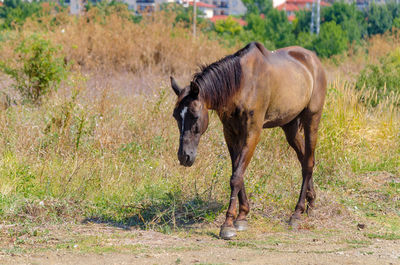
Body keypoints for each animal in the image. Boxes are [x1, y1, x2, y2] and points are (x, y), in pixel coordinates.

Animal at [170, 41, 326, 239]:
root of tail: (313, 60)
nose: (184, 156)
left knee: (308, 163)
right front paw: (242, 216)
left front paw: (228, 224)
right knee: (304, 159)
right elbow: (237, 171)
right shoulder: (230, 134)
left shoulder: (252, 133)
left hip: (312, 120)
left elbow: (236, 176)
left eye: (195, 116)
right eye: (176, 116)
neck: (242, 84)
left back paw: (297, 213)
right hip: (289, 127)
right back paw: (311, 203)